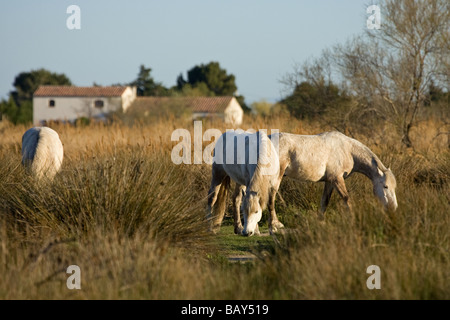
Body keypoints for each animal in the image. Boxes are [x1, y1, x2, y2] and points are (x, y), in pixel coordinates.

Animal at [268, 131, 398, 218]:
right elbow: (347, 199)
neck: (348, 150)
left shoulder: (329, 181)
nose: (393, 207)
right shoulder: (336, 179)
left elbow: (324, 202)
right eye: (385, 186)